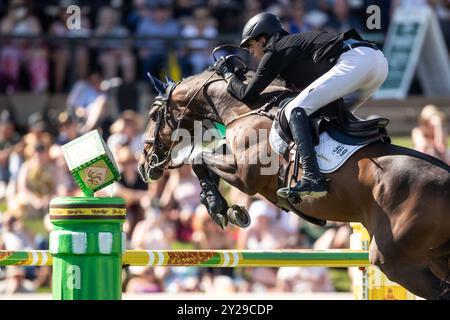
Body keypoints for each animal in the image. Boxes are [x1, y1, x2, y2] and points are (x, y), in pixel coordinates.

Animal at [137, 70, 450, 300]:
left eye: (153, 114)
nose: (143, 165)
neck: (242, 109)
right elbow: (203, 161)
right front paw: (220, 206)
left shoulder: (246, 177)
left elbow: (198, 160)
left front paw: (220, 208)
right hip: (434, 258)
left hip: (395, 260)